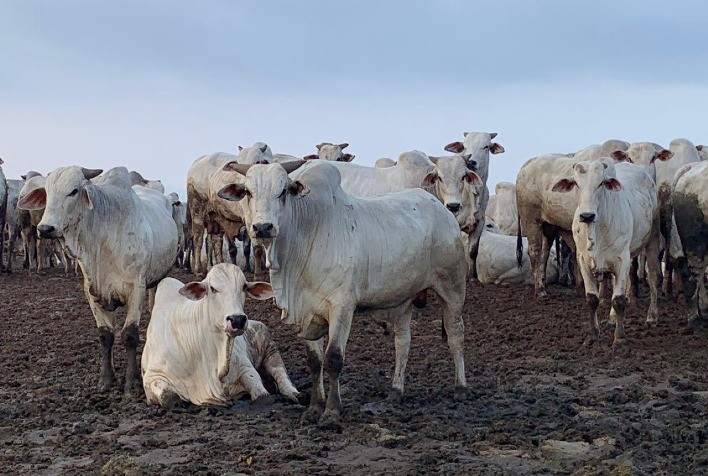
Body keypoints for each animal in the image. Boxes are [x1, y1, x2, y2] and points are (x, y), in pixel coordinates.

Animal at [18, 167, 178, 394]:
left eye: (74, 191)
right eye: (47, 192)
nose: (45, 228)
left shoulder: (135, 289)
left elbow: (130, 335)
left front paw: (131, 383)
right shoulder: (93, 292)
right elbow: (105, 336)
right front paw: (106, 380)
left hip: (158, 279)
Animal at [142, 262, 300, 408]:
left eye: (244, 287)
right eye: (213, 288)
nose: (237, 320)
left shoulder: (244, 365)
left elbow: (262, 396)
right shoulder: (153, 376)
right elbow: (170, 398)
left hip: (270, 347)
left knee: (279, 371)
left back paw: (294, 393)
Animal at [217, 162, 470, 430]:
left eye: (283, 191)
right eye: (248, 192)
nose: (263, 227)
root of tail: (442, 210)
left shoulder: (342, 308)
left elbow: (333, 359)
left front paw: (331, 411)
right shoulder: (308, 315)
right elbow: (314, 362)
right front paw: (314, 407)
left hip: (452, 288)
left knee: (455, 334)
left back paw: (461, 388)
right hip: (403, 300)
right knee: (403, 343)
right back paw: (395, 391)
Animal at [552, 160, 664, 346]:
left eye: (601, 183)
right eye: (576, 183)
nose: (587, 216)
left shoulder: (623, 259)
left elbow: (618, 300)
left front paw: (619, 338)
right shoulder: (582, 260)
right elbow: (592, 298)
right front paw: (592, 335)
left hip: (653, 239)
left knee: (654, 278)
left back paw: (652, 317)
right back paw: (612, 319)